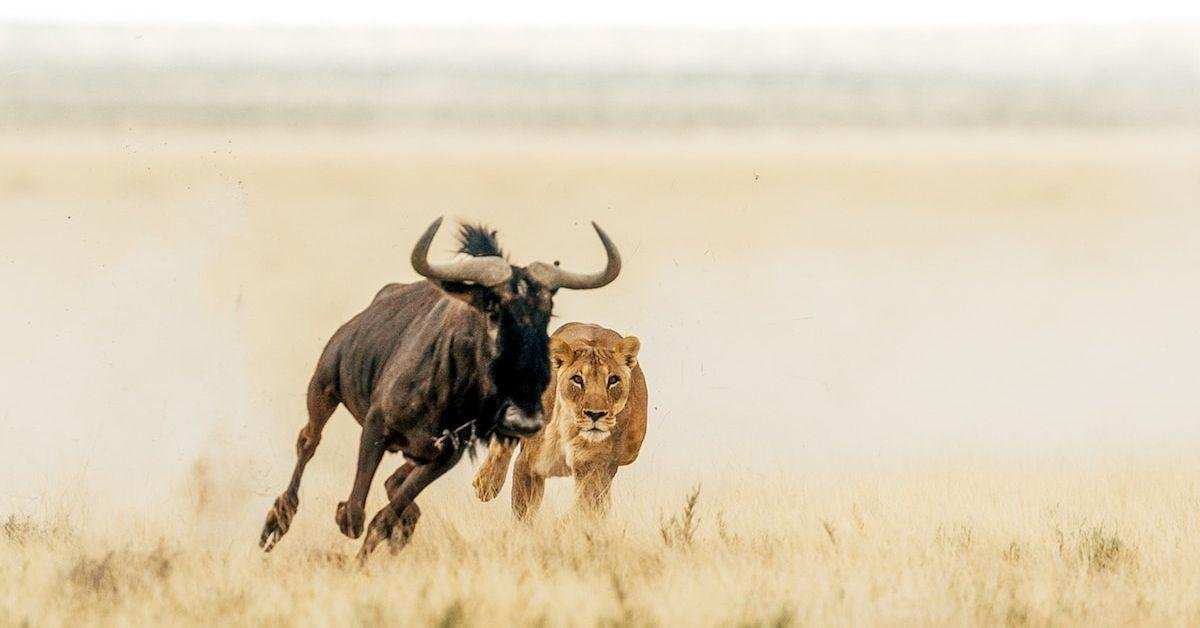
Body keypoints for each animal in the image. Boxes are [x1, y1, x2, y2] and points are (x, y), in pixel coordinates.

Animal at [472, 322, 647, 518]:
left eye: (613, 380)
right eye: (577, 379)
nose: (595, 414)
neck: (570, 429)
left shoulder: (593, 468)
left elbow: (585, 508)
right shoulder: (528, 465)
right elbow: (522, 514)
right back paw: (486, 483)